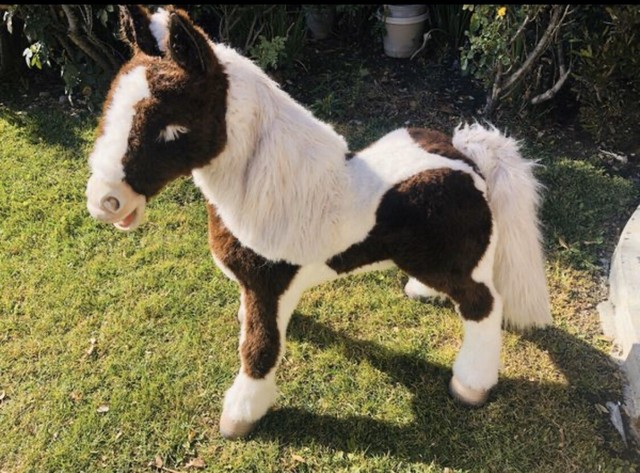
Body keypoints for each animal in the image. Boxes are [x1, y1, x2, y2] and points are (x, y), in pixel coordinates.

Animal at [86, 5, 551, 440]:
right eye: (110, 105)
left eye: (171, 128)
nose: (104, 202)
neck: (269, 189)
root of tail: (467, 158)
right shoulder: (257, 288)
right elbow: (253, 328)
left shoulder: (270, 284)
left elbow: (260, 349)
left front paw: (240, 415)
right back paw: (422, 292)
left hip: (461, 265)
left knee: (483, 305)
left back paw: (471, 386)